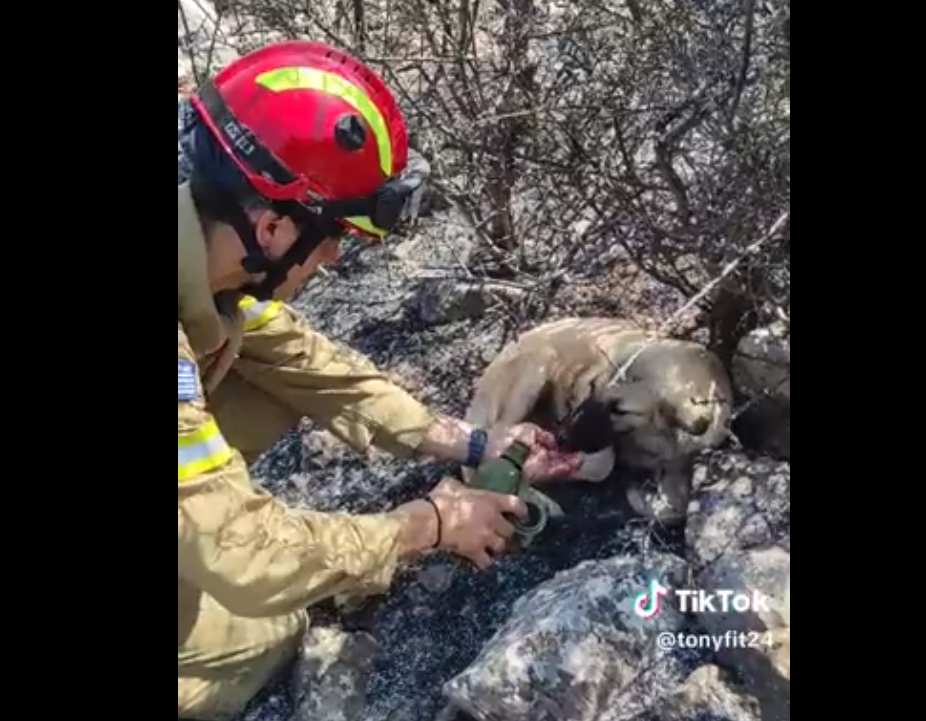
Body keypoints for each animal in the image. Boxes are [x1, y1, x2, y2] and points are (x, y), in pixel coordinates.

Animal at [464, 316, 732, 524]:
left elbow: (677, 510)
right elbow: (604, 464)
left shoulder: (681, 460)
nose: (561, 438)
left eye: (619, 410)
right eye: (593, 386)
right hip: (533, 374)